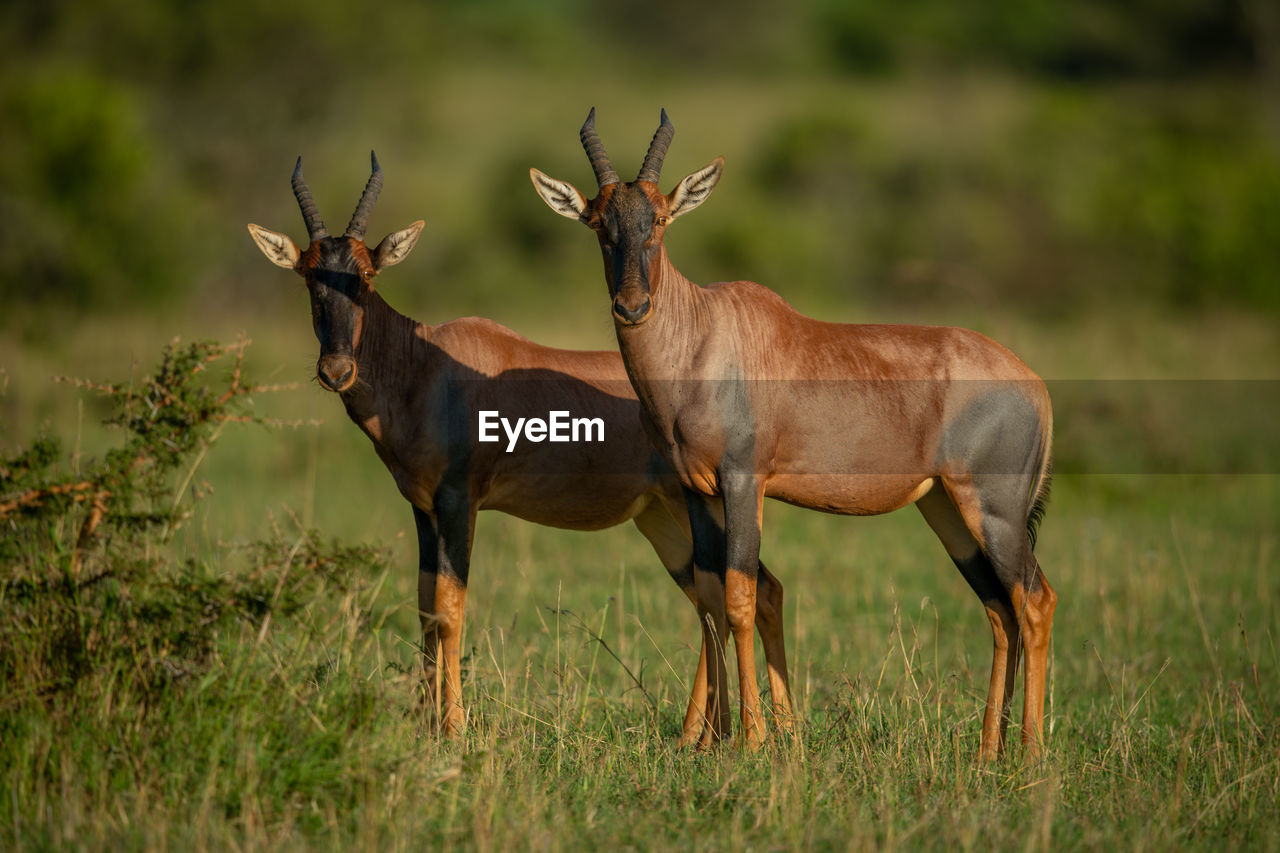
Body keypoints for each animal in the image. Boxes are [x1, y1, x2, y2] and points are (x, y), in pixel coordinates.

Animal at [248, 153, 788, 737]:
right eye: (308, 274)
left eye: (367, 274)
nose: (336, 370)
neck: (426, 362)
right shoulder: (422, 507)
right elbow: (424, 606)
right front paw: (426, 726)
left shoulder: (458, 501)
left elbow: (449, 606)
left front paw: (454, 729)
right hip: (661, 516)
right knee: (718, 597)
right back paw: (710, 734)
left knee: (745, 592)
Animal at [532, 109, 1059, 753]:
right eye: (597, 222)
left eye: (659, 218)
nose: (632, 308)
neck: (706, 334)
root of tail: (1035, 386)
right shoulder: (695, 490)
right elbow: (709, 595)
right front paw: (709, 741)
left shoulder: (743, 481)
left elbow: (739, 595)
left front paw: (754, 740)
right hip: (947, 510)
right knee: (999, 610)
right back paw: (987, 753)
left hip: (995, 509)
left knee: (1034, 600)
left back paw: (1029, 753)